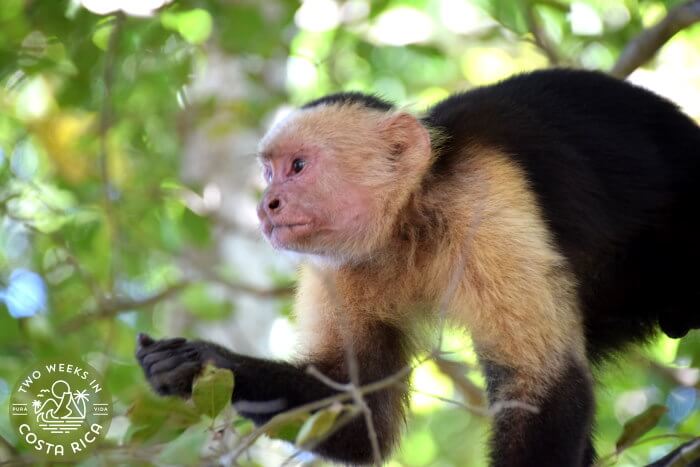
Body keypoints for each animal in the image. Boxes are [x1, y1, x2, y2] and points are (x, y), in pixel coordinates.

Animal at [137, 68, 700, 466]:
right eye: (270, 172)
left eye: (298, 167)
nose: (266, 204)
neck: (409, 217)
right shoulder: (338, 269)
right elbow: (364, 416)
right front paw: (196, 362)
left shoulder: (482, 204)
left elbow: (540, 385)